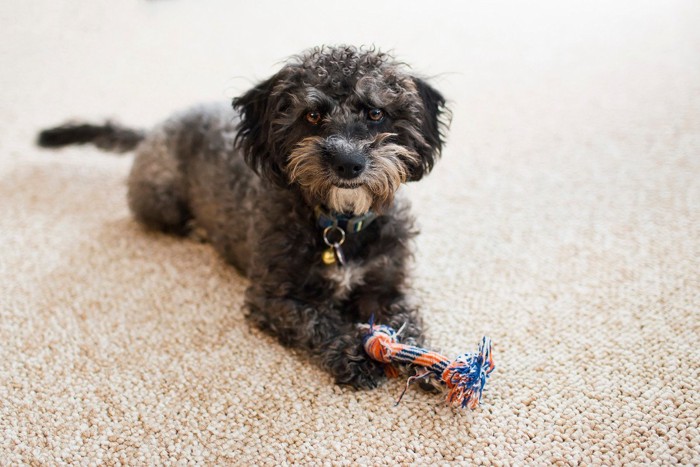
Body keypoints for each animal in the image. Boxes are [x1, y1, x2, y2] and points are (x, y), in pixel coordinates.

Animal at [38, 46, 452, 392]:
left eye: (376, 113)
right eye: (312, 114)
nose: (348, 163)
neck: (339, 224)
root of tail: (154, 129)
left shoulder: (387, 285)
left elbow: (405, 321)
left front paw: (428, 362)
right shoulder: (274, 299)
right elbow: (320, 323)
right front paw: (354, 356)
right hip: (160, 200)